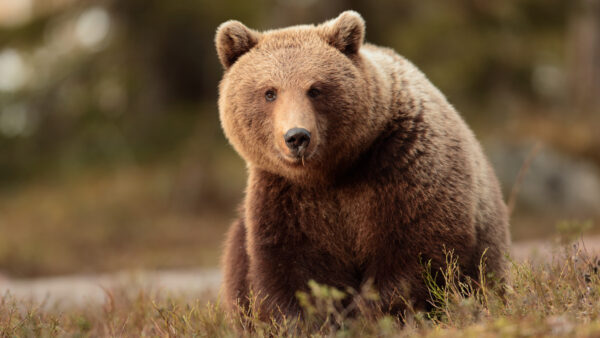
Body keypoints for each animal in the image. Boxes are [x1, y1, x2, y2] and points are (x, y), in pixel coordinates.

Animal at [213, 10, 508, 320]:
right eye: (269, 92)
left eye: (315, 89)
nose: (297, 137)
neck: (331, 173)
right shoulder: (286, 197)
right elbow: (293, 268)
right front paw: (316, 317)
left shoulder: (402, 165)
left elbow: (413, 251)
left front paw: (370, 313)